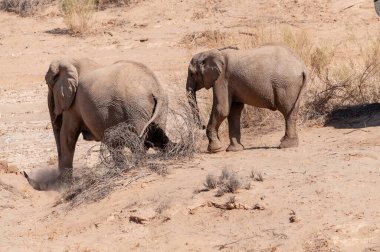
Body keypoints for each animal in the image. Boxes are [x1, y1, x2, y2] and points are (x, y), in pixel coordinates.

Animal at [24, 58, 170, 190]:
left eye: (47, 82)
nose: (24, 173)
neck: (72, 62)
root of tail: (154, 87)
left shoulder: (73, 105)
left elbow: (67, 137)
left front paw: (64, 188)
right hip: (156, 110)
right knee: (154, 137)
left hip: (135, 109)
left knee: (138, 142)